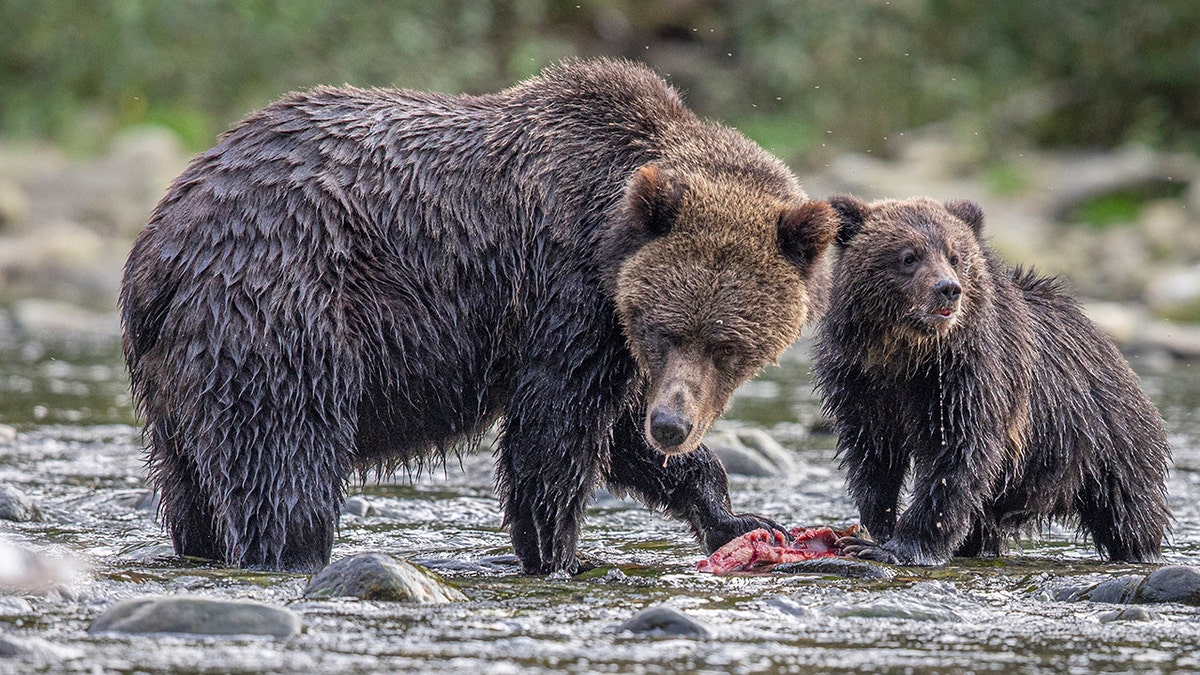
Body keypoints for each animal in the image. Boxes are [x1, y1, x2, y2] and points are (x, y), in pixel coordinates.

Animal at [119, 59, 835, 571]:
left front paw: (738, 518)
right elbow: (554, 430)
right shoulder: (564, 295)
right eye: (667, 330)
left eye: (728, 346)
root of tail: (158, 247)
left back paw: (203, 547)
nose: (673, 425)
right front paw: (560, 555)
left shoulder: (615, 340)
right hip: (278, 309)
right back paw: (289, 553)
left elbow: (620, 435)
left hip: (176, 375)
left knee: (192, 484)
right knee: (284, 457)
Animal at [816, 194, 1171, 562]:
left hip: (1102, 440)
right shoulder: (860, 381)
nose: (948, 289)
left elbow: (957, 456)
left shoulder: (968, 377)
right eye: (908, 256)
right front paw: (873, 528)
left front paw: (900, 546)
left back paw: (1140, 550)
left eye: (955, 256)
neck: (906, 353)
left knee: (1128, 510)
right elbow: (873, 457)